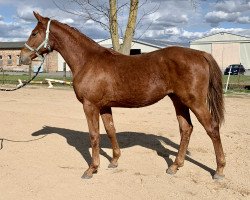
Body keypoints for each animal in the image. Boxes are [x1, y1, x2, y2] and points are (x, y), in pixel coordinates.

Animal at [20, 12, 226, 180]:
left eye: (34, 33)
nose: (22, 57)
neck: (88, 60)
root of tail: (200, 53)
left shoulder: (90, 105)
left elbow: (94, 135)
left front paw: (92, 169)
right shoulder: (104, 106)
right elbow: (110, 130)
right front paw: (114, 161)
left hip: (195, 102)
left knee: (212, 128)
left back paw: (219, 170)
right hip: (178, 101)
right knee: (186, 129)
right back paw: (175, 166)